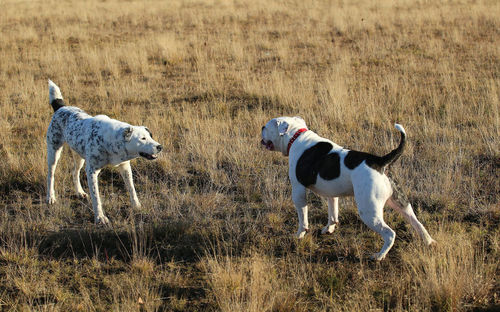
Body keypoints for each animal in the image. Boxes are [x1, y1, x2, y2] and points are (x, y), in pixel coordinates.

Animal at [46, 79, 163, 223]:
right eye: (143, 138)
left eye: (151, 136)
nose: (159, 147)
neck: (112, 139)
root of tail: (61, 107)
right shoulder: (92, 172)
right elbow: (96, 198)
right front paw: (100, 217)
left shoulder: (125, 166)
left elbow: (131, 188)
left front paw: (136, 205)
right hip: (54, 152)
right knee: (51, 175)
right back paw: (50, 197)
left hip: (79, 156)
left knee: (74, 172)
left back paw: (79, 192)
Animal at [260, 116, 436, 260]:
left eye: (267, 127)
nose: (261, 128)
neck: (296, 137)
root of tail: (380, 162)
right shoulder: (331, 195)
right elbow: (333, 214)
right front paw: (329, 229)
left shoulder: (298, 191)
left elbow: (303, 219)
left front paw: (299, 235)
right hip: (401, 203)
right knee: (417, 223)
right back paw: (429, 242)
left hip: (369, 212)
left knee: (390, 234)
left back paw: (379, 256)